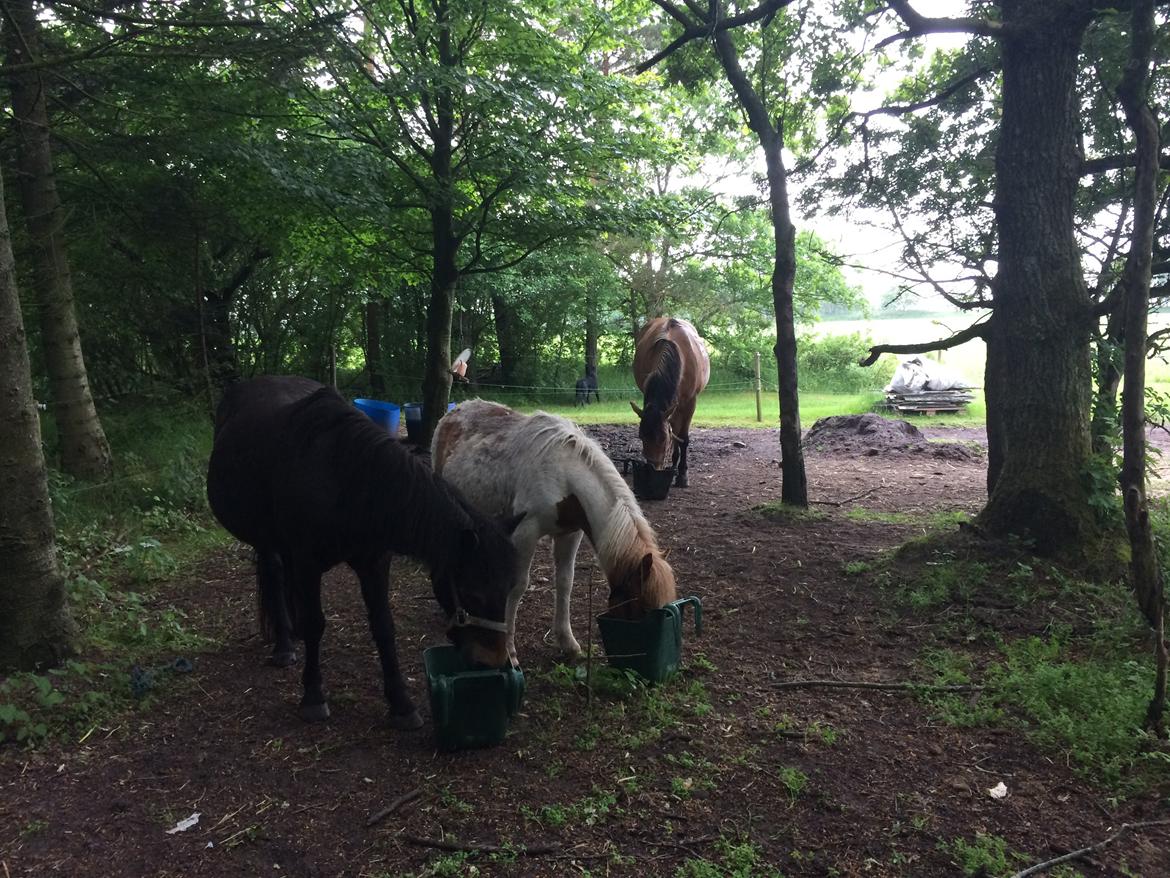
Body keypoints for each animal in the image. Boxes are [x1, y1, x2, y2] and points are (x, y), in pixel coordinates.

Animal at [205, 379, 521, 730]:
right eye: (471, 593)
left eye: (509, 590)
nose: (492, 660)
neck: (345, 483)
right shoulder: (307, 563)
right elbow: (315, 623)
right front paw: (313, 696)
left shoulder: (374, 564)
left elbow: (383, 627)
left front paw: (401, 704)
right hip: (265, 539)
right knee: (274, 576)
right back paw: (285, 645)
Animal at [435, 402, 678, 664]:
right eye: (640, 608)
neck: (564, 477)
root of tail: (455, 411)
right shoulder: (525, 533)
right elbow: (518, 585)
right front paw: (510, 651)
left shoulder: (570, 534)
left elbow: (565, 582)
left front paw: (568, 644)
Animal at [631, 320, 711, 491]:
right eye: (641, 436)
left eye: (662, 439)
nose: (652, 468)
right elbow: (674, 434)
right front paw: (674, 469)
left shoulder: (689, 403)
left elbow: (682, 438)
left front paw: (682, 475)